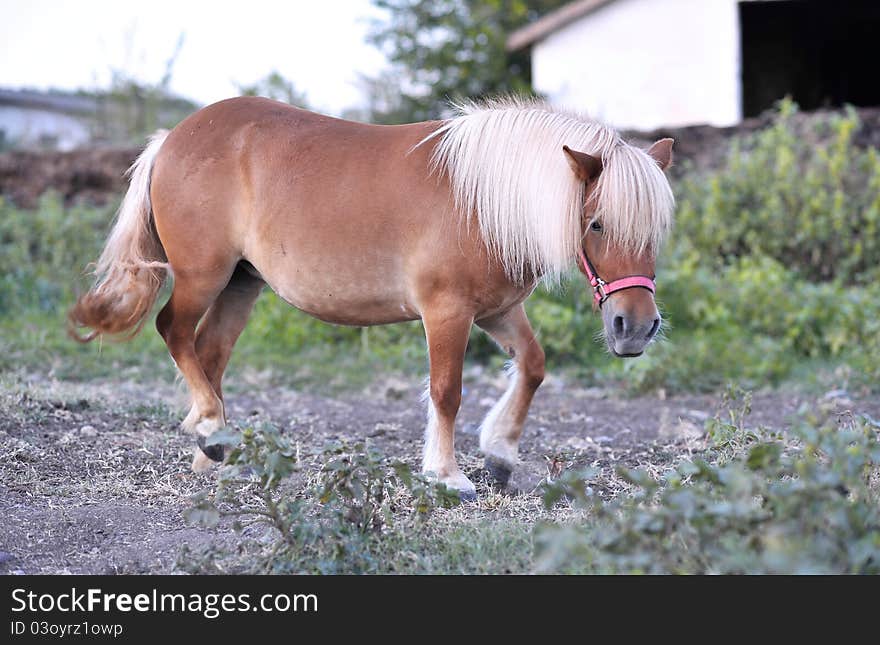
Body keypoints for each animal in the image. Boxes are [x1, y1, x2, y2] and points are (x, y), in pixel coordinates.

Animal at [70, 97, 672, 498]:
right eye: (596, 224)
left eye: (657, 230)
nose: (635, 327)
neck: (482, 199)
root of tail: (170, 138)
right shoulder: (447, 311)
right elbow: (446, 392)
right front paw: (447, 475)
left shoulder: (497, 311)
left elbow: (533, 366)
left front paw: (500, 453)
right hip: (203, 275)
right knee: (174, 331)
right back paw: (211, 429)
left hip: (242, 282)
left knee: (210, 351)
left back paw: (213, 450)